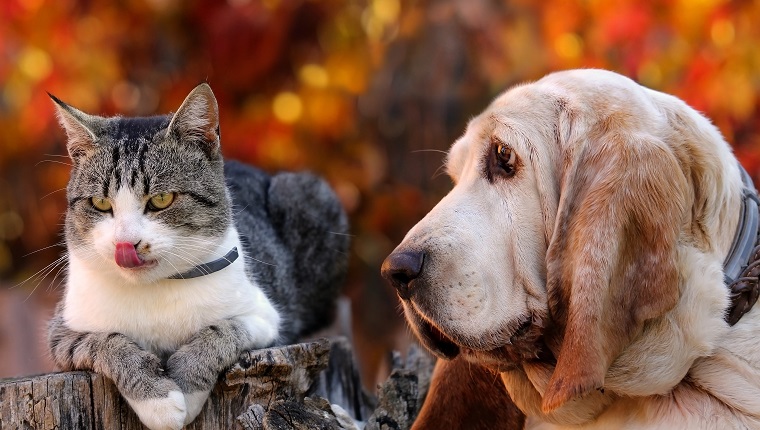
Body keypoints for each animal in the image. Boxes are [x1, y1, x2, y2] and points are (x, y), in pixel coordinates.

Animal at [49, 84, 352, 430]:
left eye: (161, 199)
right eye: (100, 203)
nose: (125, 243)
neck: (154, 289)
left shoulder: (266, 318)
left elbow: (222, 331)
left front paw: (186, 387)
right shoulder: (62, 332)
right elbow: (106, 343)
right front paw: (158, 401)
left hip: (306, 192)